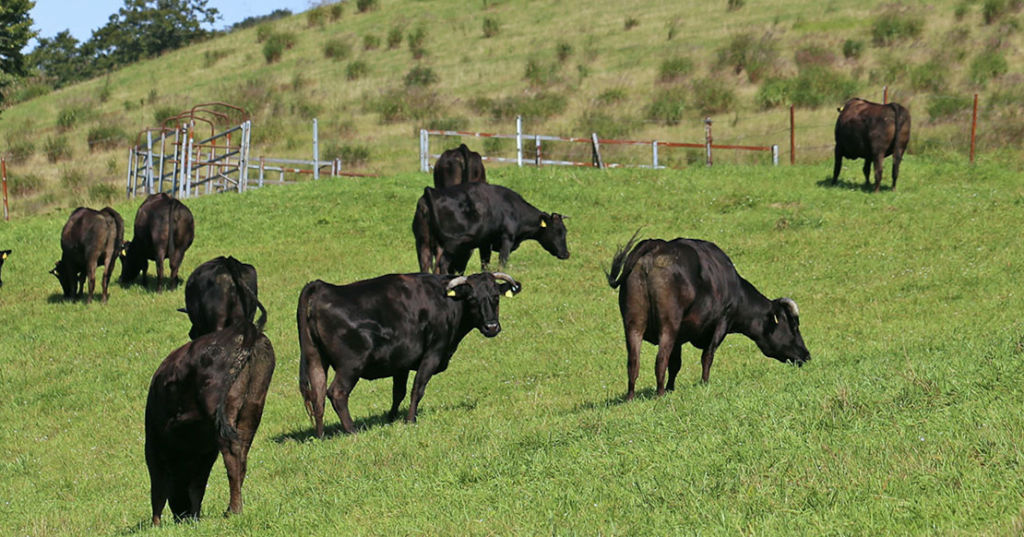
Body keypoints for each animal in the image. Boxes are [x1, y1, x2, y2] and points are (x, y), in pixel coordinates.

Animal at [144, 297, 274, 524]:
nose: (183, 515)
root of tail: (244, 330)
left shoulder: (154, 448)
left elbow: (158, 491)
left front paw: (155, 525)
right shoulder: (205, 453)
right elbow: (197, 486)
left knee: (232, 455)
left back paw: (234, 510)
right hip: (252, 408)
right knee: (242, 455)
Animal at [294, 272, 520, 436]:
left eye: (496, 297)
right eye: (472, 299)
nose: (491, 327)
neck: (447, 302)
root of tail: (323, 287)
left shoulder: (400, 363)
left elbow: (398, 393)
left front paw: (391, 419)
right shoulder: (433, 353)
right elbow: (417, 389)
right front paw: (411, 420)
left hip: (315, 359)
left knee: (317, 396)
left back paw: (321, 435)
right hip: (350, 366)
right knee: (337, 393)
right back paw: (352, 431)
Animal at [409, 182, 569, 274]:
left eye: (565, 231)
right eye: (558, 231)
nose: (566, 254)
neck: (514, 208)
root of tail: (431, 192)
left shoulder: (485, 242)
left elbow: (484, 263)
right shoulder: (507, 238)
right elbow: (502, 262)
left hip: (422, 242)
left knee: (425, 264)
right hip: (450, 244)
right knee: (442, 264)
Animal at [606, 232, 806, 399]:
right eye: (793, 327)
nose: (806, 354)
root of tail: (656, 246)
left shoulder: (679, 337)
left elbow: (676, 363)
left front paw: (672, 388)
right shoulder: (722, 321)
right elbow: (707, 356)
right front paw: (704, 383)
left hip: (633, 324)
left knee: (633, 362)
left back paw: (631, 396)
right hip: (668, 325)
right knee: (660, 360)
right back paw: (660, 394)